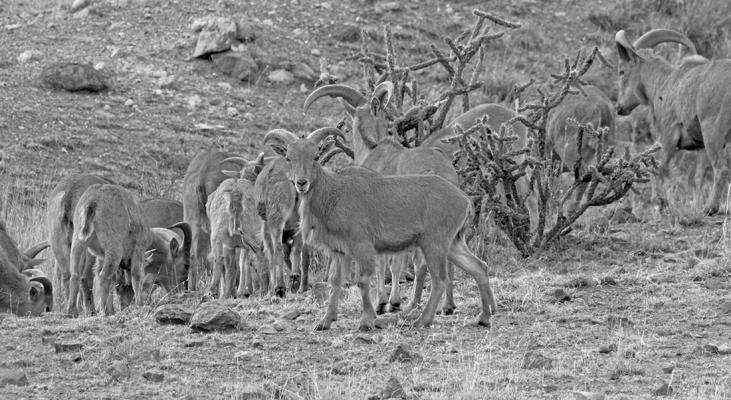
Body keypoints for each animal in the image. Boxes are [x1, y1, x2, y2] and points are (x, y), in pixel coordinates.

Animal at [47, 173, 113, 311]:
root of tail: (69, 194)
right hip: (85, 247)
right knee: (84, 277)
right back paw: (88, 309)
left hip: (59, 243)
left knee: (67, 274)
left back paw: (71, 309)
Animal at [66, 184, 190, 316]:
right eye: (185, 265)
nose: (179, 292)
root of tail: (93, 202)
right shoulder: (138, 251)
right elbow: (136, 277)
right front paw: (140, 305)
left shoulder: (103, 256)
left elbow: (116, 280)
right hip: (114, 248)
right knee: (104, 275)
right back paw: (103, 311)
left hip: (78, 242)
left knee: (75, 275)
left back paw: (72, 311)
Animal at [264, 127, 497, 331]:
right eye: (289, 158)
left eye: (315, 156)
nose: (301, 183)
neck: (333, 194)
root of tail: (464, 199)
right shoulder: (340, 251)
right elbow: (335, 283)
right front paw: (325, 322)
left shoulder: (362, 246)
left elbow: (362, 281)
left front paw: (367, 320)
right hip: (454, 243)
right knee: (479, 267)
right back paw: (483, 317)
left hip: (434, 244)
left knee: (440, 279)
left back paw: (422, 320)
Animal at [615, 28, 731, 215]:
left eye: (622, 71)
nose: (619, 107)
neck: (664, 83)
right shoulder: (701, 146)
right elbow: (697, 178)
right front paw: (694, 207)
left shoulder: (669, 137)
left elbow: (661, 169)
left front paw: (663, 204)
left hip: (713, 132)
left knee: (721, 169)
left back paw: (710, 208)